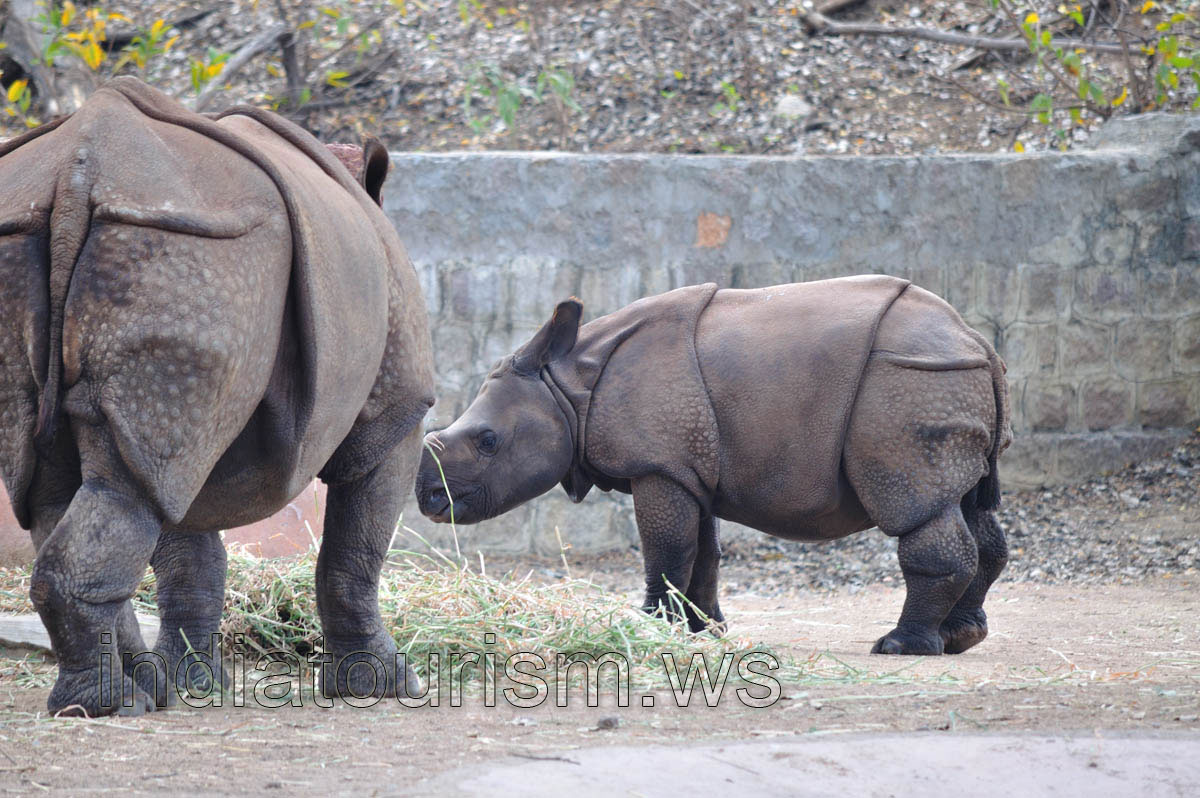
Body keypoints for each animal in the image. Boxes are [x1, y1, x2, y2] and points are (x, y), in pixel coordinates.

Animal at [0, 78, 434, 715]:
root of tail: (75, 178)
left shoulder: (209, 407)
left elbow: (190, 551)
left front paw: (196, 685)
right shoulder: (399, 413)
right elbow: (356, 549)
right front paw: (385, 686)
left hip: (122, 245)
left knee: (87, 481)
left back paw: (132, 695)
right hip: (192, 248)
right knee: (132, 484)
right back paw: (111, 705)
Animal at [416, 276, 1012, 655]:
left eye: (487, 441)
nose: (428, 498)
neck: (569, 384)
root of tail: (975, 339)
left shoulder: (657, 464)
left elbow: (666, 549)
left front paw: (651, 629)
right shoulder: (686, 465)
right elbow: (702, 552)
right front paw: (705, 632)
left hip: (907, 381)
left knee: (917, 506)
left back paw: (899, 647)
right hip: (939, 379)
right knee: (968, 505)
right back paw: (959, 640)